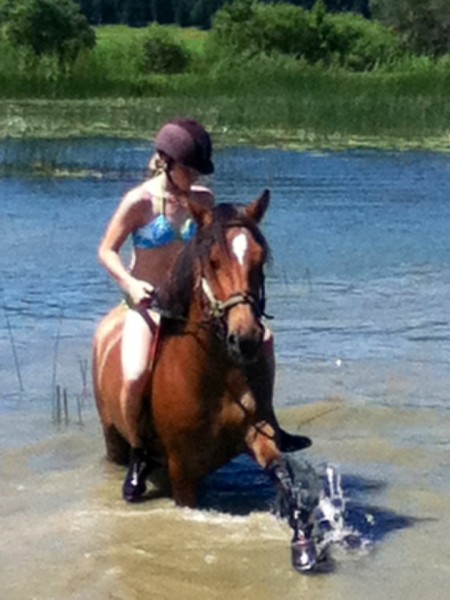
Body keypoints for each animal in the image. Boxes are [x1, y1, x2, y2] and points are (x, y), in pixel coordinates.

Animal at [91, 191, 318, 572]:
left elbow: (284, 475)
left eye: (259, 259)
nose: (246, 339)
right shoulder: (182, 469)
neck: (214, 375)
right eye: (212, 261)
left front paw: (303, 545)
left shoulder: (258, 433)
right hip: (113, 437)